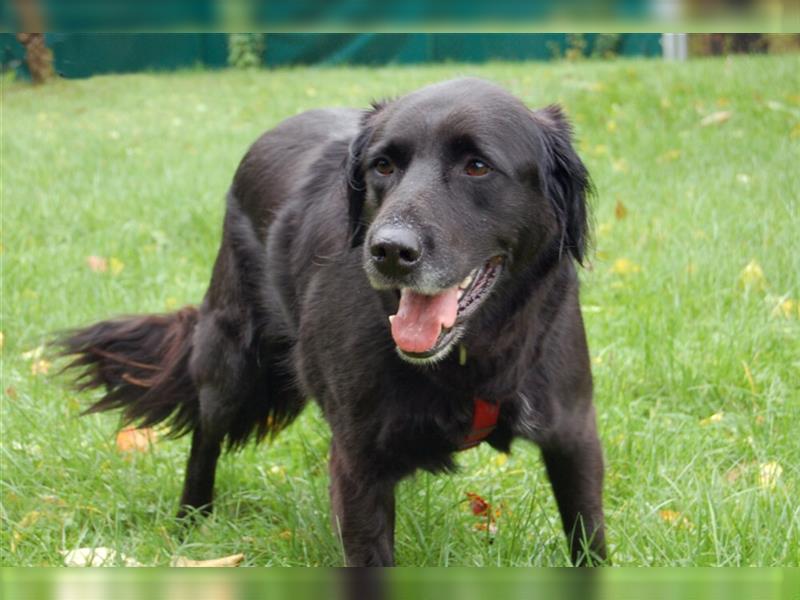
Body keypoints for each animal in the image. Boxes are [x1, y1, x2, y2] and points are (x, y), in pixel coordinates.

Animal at [59, 79, 608, 568]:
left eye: (478, 166)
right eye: (383, 165)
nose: (389, 251)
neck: (469, 356)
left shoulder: (573, 436)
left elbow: (589, 543)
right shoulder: (358, 463)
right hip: (231, 362)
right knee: (204, 435)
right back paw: (190, 523)